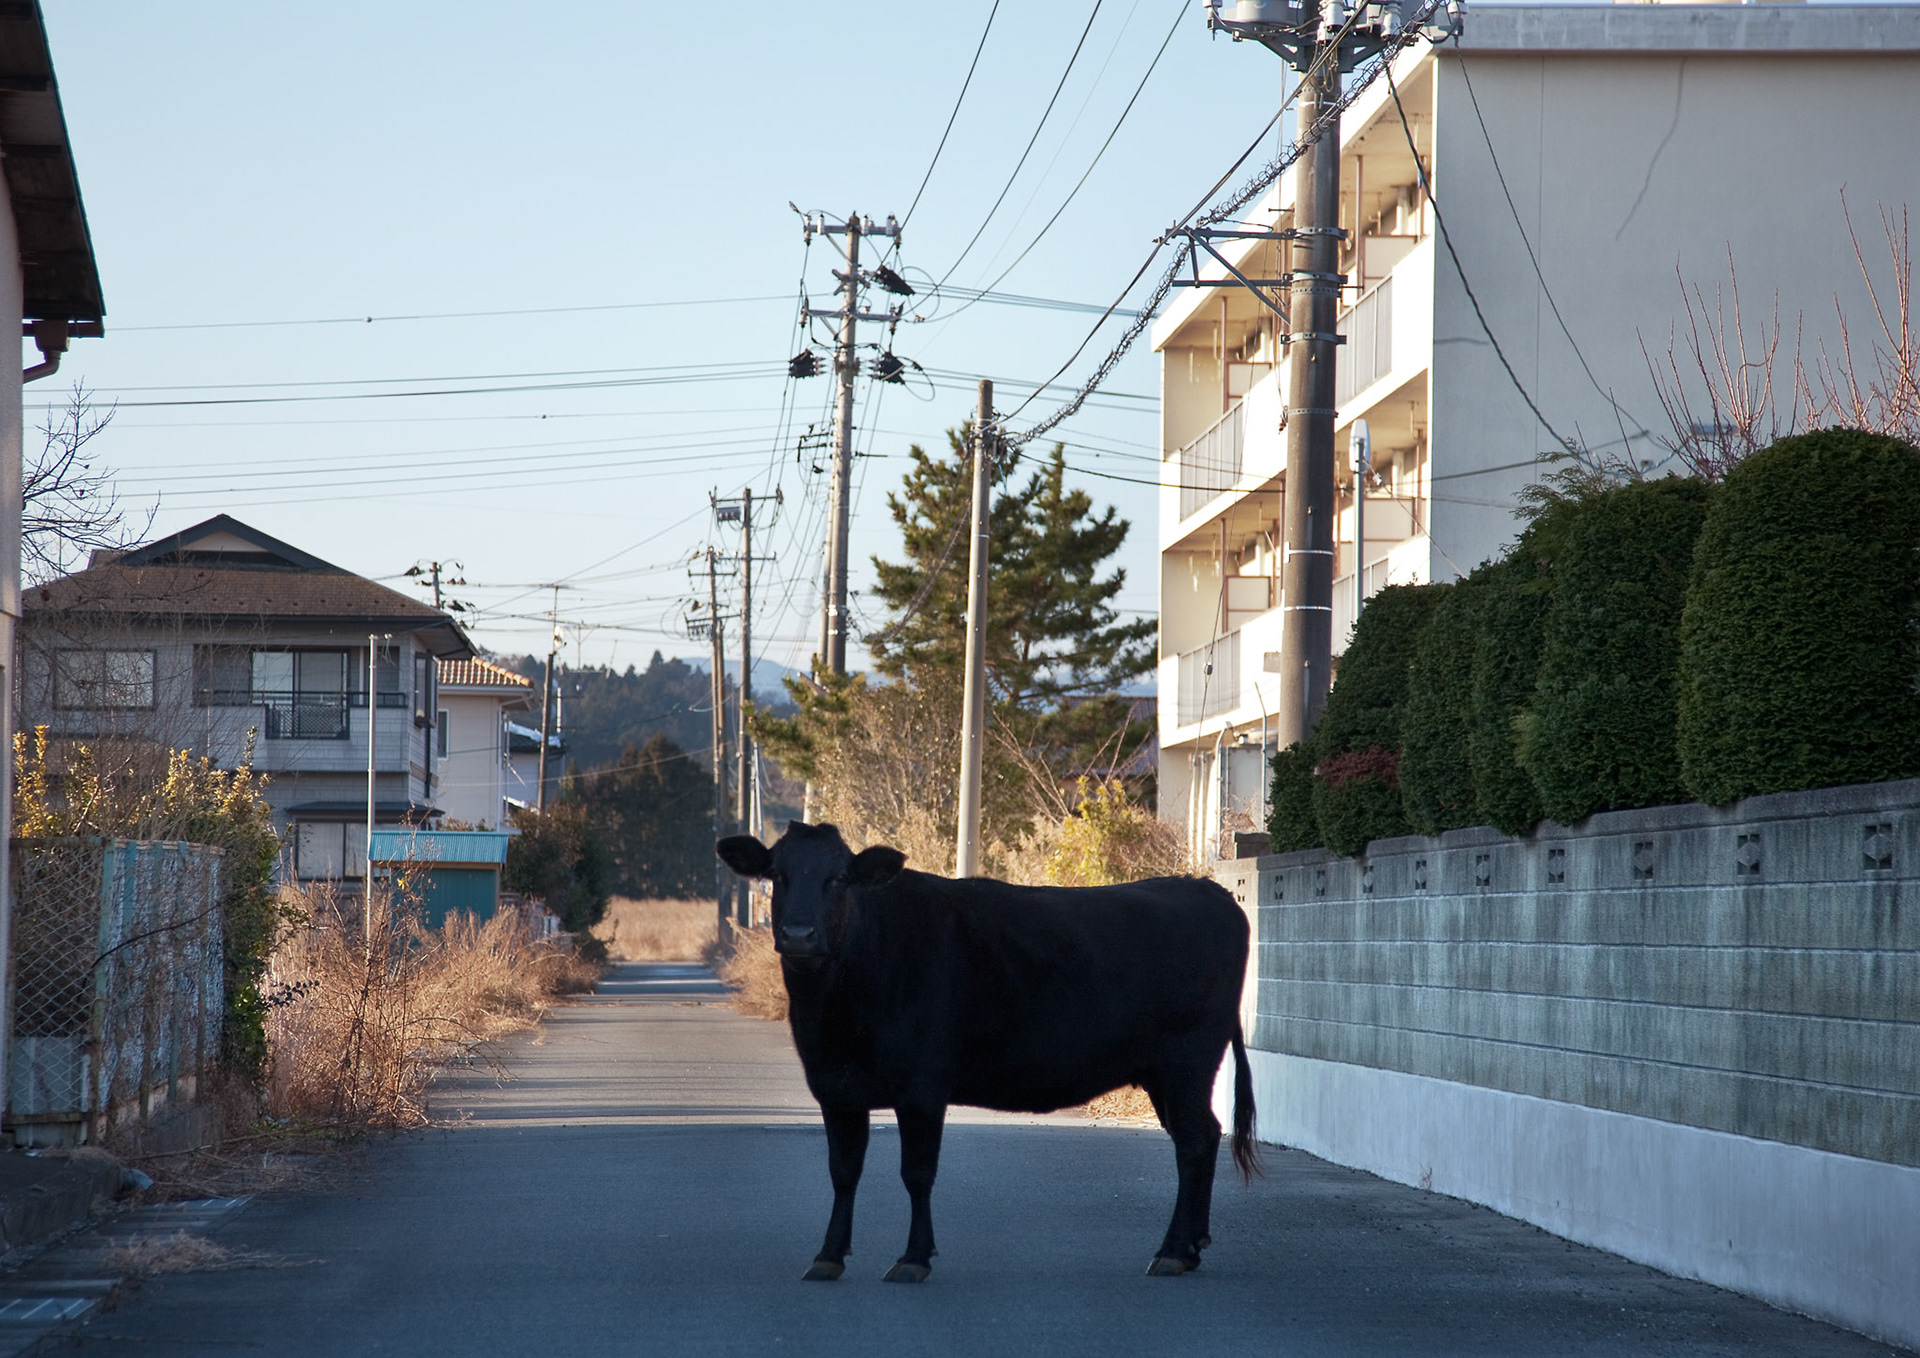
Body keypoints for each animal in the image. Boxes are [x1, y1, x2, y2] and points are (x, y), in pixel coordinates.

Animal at [715, 821, 1258, 1283]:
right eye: (776, 875)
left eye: (839, 878)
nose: (799, 935)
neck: (834, 1010)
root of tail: (1205, 889)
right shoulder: (835, 1086)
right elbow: (843, 1172)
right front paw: (828, 1255)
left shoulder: (921, 1086)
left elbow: (917, 1173)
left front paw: (913, 1258)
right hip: (1164, 1072)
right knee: (1202, 1136)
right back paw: (1190, 1248)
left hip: (1188, 1060)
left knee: (1193, 1142)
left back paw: (1172, 1251)